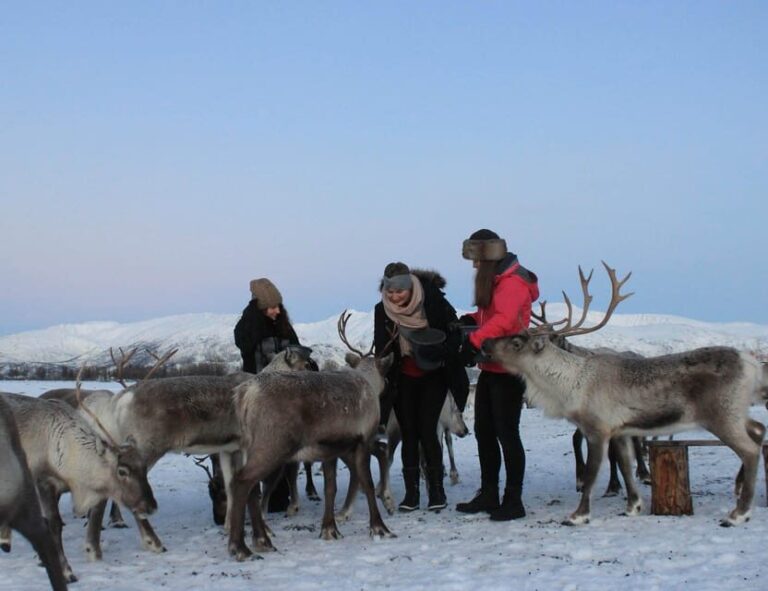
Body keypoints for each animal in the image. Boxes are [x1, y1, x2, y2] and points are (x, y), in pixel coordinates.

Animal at [226, 311, 395, 561]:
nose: (389, 385)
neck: (368, 383)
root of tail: (244, 394)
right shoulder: (363, 440)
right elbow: (366, 481)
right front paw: (379, 527)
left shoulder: (330, 450)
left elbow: (330, 487)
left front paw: (329, 529)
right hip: (272, 446)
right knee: (242, 482)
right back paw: (241, 547)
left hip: (252, 449)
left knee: (251, 488)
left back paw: (262, 540)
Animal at [482, 261, 768, 527]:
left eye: (516, 342)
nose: (484, 342)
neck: (571, 384)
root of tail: (751, 363)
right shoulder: (620, 430)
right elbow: (625, 465)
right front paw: (633, 506)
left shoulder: (597, 429)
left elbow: (592, 474)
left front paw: (578, 515)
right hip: (737, 412)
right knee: (758, 429)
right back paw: (739, 489)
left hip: (722, 415)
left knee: (750, 450)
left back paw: (739, 513)